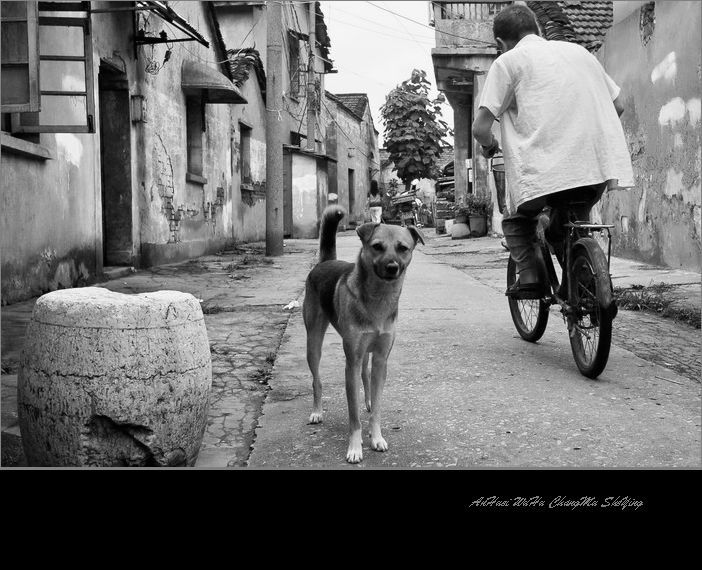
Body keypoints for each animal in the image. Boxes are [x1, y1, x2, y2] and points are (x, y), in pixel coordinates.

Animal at [302, 204, 424, 462]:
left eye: (403, 248)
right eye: (377, 246)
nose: (392, 268)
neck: (378, 298)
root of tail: (325, 262)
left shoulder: (380, 359)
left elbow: (376, 407)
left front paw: (376, 437)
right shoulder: (352, 362)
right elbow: (353, 416)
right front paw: (355, 448)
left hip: (366, 352)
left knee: (365, 377)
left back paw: (366, 400)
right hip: (314, 342)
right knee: (317, 380)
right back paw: (317, 411)